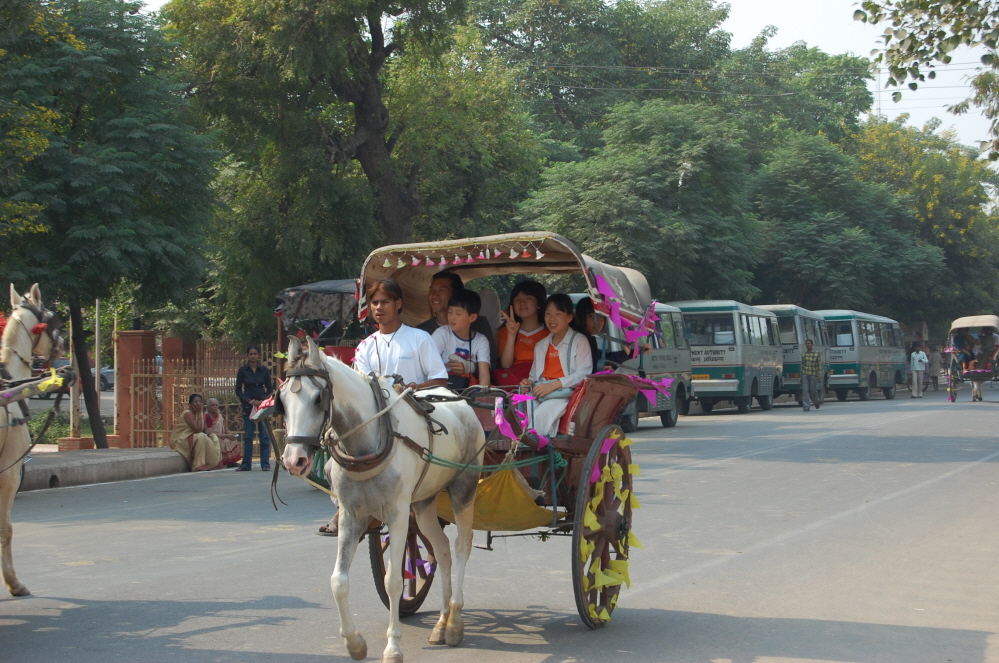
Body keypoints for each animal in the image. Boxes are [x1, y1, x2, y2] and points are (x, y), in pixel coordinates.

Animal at [282, 340, 484, 660]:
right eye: (281, 400)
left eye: (317, 399)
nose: (294, 460)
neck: (367, 441)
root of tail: (460, 400)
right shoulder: (351, 516)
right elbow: (338, 581)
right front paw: (354, 643)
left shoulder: (398, 516)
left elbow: (394, 582)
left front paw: (393, 647)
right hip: (423, 504)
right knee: (441, 550)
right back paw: (440, 623)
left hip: (463, 487)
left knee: (462, 546)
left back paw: (454, 623)